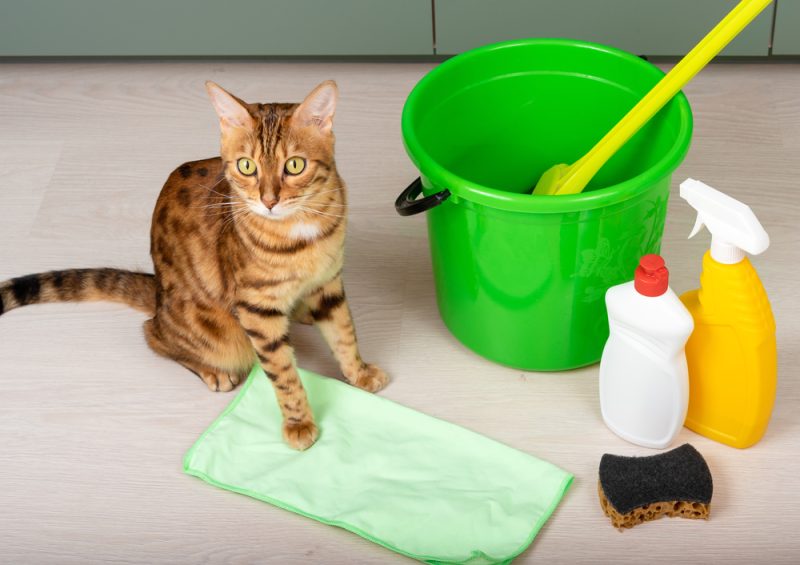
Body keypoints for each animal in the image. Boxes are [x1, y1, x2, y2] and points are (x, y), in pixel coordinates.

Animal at [0, 80, 388, 450]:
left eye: (294, 165)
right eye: (247, 166)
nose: (268, 200)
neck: (302, 232)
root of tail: (158, 291)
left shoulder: (328, 282)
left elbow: (344, 333)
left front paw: (360, 373)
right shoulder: (257, 309)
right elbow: (283, 372)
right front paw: (299, 423)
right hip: (214, 331)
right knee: (154, 334)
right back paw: (211, 369)